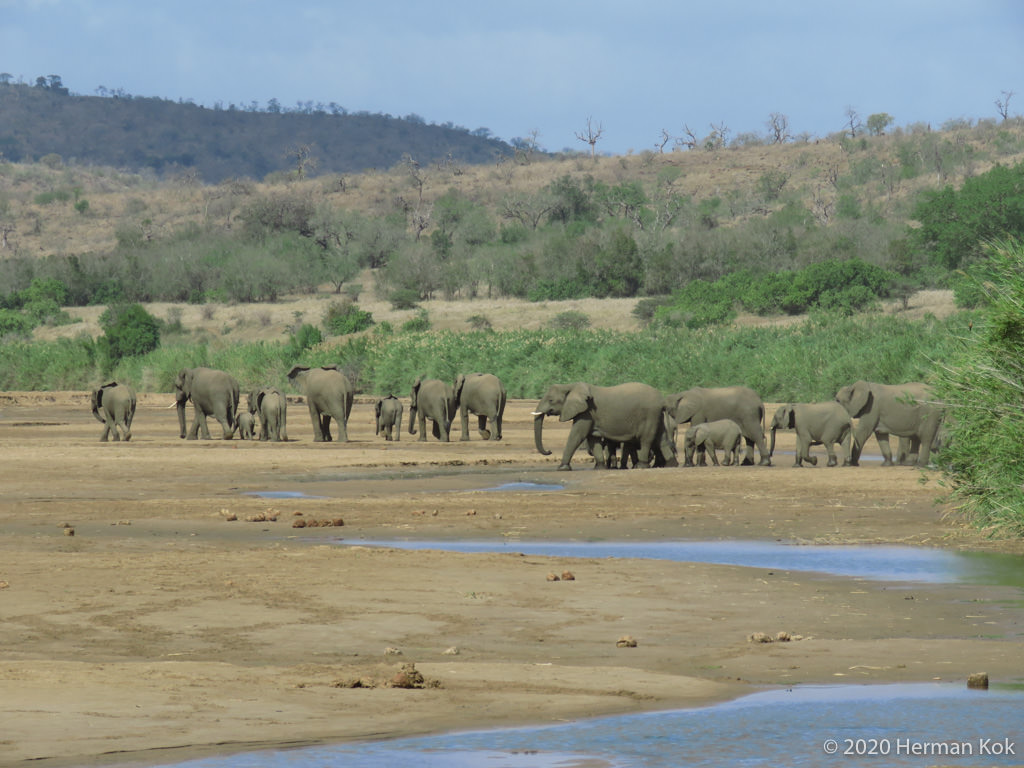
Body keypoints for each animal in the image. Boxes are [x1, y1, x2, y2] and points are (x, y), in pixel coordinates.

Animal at [533, 382, 678, 470]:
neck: (571, 386)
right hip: (657, 417)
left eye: (551, 400)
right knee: (661, 440)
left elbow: (577, 435)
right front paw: (599, 468)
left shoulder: (586, 412)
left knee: (646, 439)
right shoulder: (590, 414)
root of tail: (662, 401)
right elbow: (593, 439)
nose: (549, 451)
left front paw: (562, 468)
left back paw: (641, 466)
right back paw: (671, 465)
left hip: (649, 415)